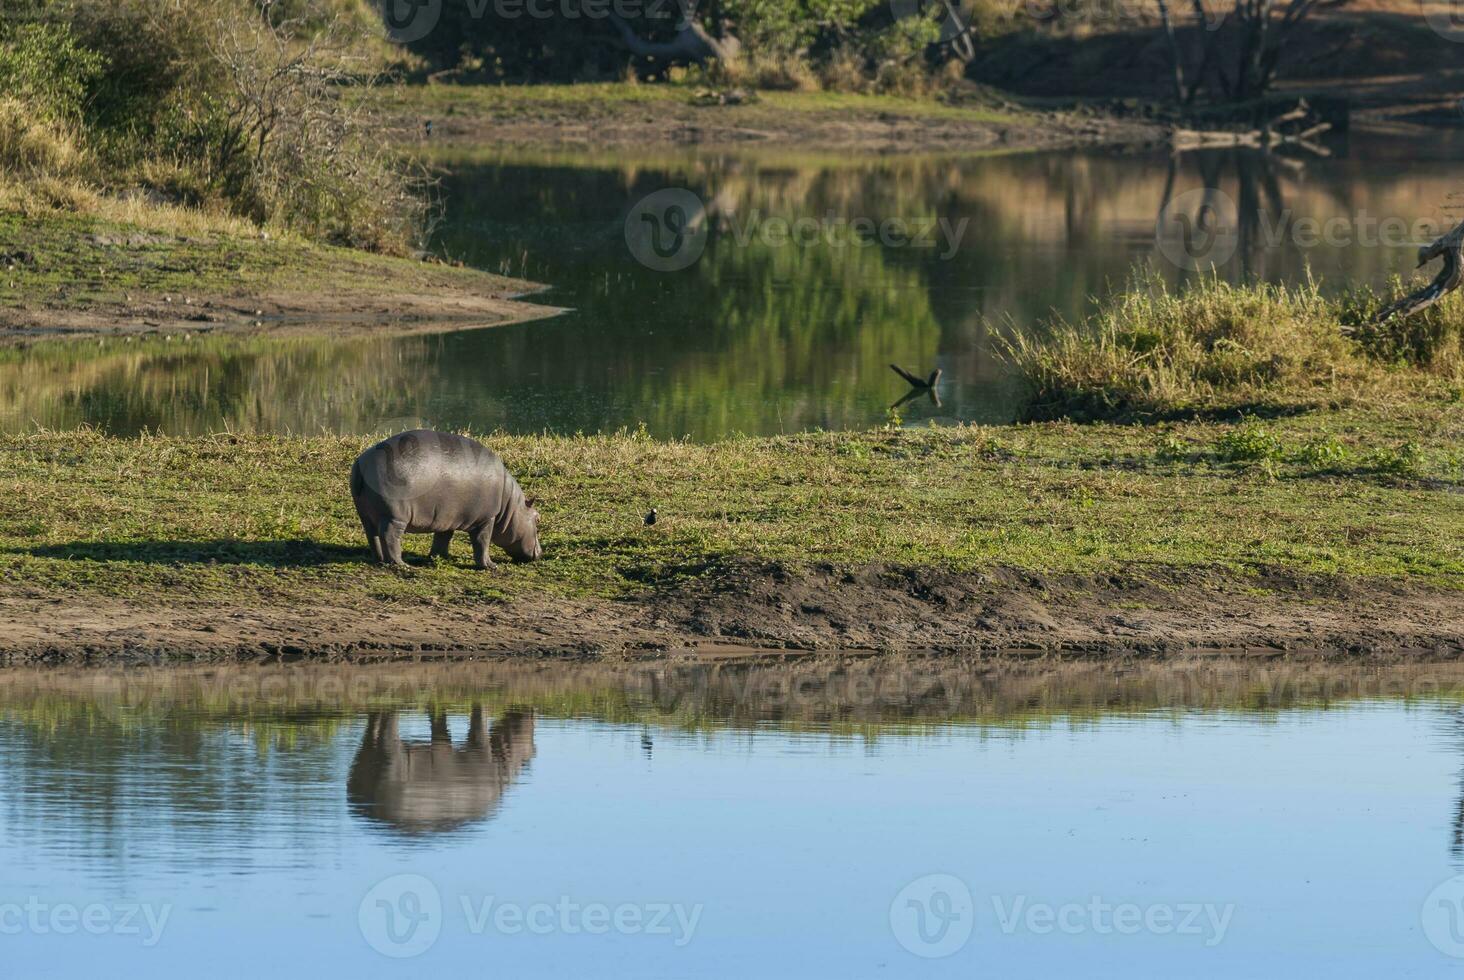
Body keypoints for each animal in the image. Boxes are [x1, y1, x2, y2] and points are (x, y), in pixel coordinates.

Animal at [349, 424, 544, 565]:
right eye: (537, 518)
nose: (540, 552)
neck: (510, 506)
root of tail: (361, 463)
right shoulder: (487, 518)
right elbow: (482, 541)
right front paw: (490, 565)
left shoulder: (447, 517)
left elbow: (443, 538)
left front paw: (439, 557)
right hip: (394, 516)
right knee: (389, 536)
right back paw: (400, 563)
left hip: (366, 515)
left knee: (373, 536)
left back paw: (380, 560)